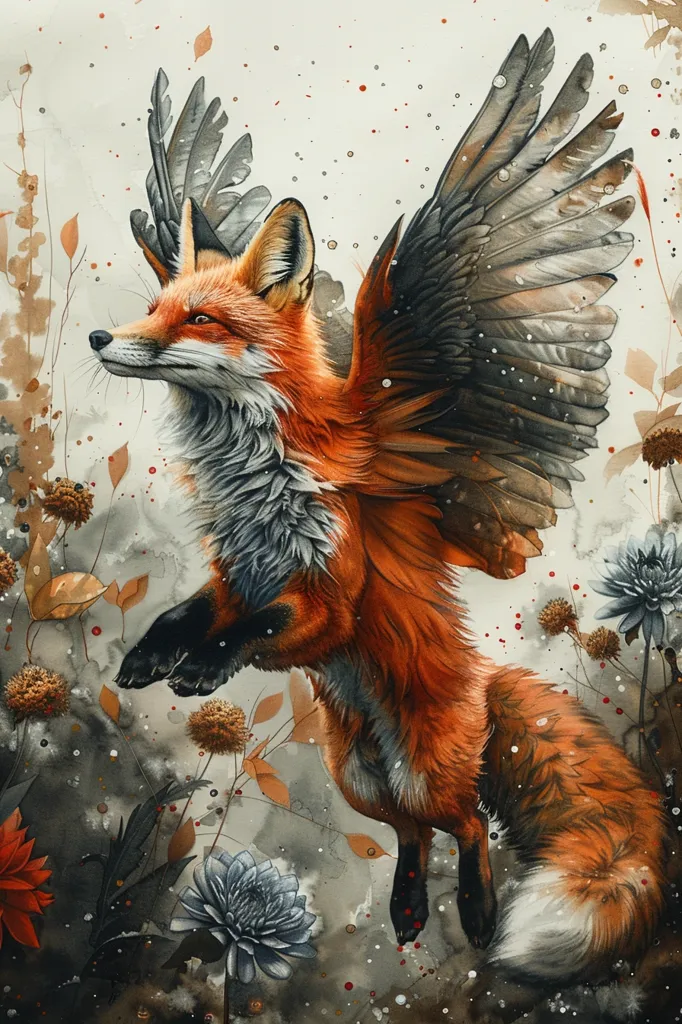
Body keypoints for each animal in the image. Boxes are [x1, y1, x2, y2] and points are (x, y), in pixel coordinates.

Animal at [90, 30, 667, 989]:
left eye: (198, 319)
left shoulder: (327, 595)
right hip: (354, 770)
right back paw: (405, 910)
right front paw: (150, 657)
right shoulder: (237, 568)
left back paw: (478, 916)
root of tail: (484, 677)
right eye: (154, 307)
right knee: (409, 832)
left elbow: (261, 631)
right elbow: (191, 612)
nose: (102, 339)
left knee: (465, 822)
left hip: (420, 765)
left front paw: (201, 669)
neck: (257, 474)